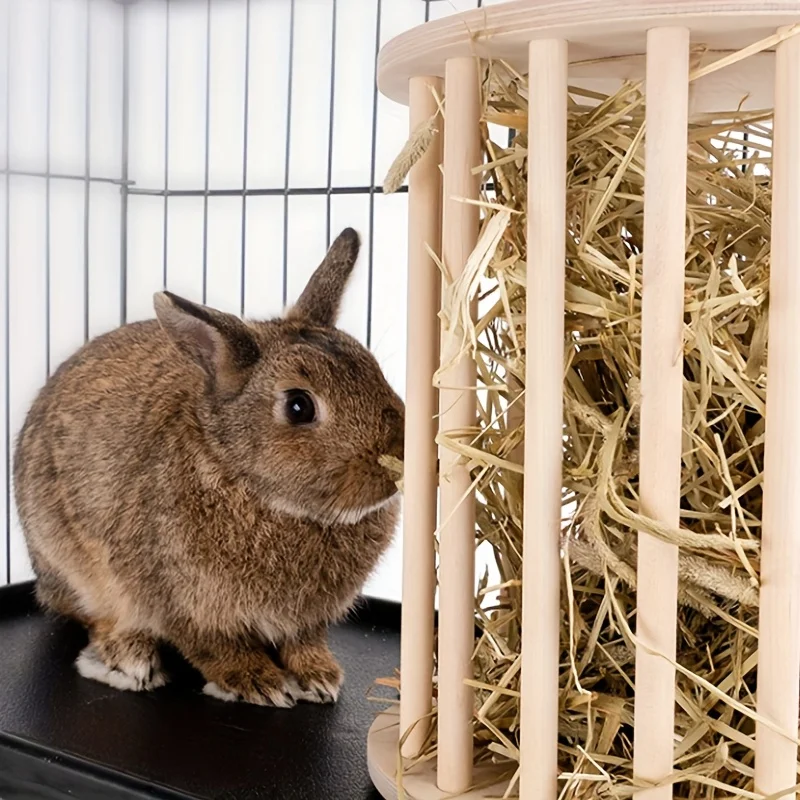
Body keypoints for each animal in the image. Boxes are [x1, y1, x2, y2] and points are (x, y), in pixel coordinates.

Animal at [13, 227, 405, 707]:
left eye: (375, 370)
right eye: (299, 406)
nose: (398, 458)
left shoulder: (308, 620)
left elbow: (304, 642)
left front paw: (319, 677)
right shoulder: (178, 602)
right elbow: (214, 647)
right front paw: (257, 682)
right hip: (67, 562)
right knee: (95, 617)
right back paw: (130, 658)